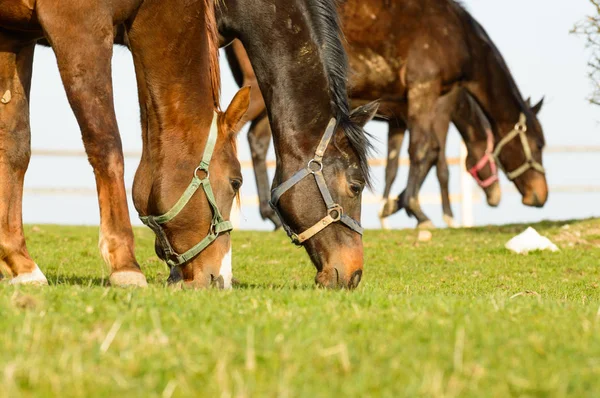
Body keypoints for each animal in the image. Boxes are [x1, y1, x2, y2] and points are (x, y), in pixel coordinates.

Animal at [1, 0, 246, 286]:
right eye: (236, 182)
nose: (221, 279)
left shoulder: (14, 37)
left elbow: (15, 146)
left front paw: (21, 264)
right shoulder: (79, 26)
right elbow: (106, 144)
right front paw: (125, 265)